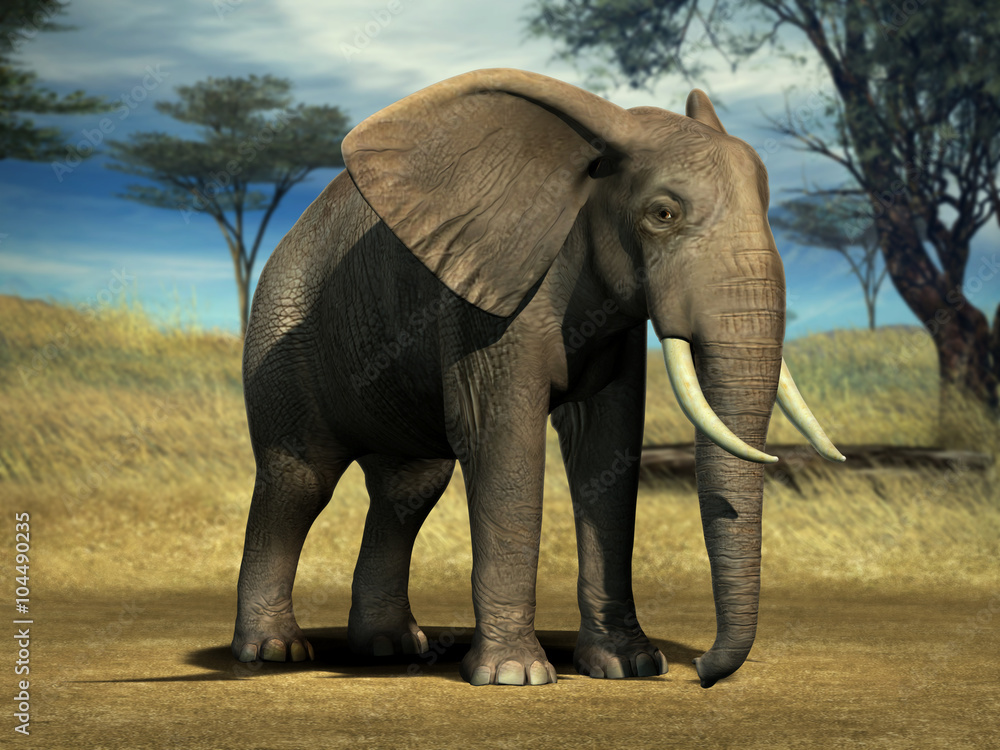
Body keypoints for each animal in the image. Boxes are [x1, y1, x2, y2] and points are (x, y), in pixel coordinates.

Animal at [231, 68, 844, 689]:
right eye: (663, 214)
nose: (700, 671)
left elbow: (607, 450)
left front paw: (629, 667)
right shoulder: (487, 303)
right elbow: (505, 446)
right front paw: (515, 677)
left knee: (409, 488)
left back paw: (388, 647)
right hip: (282, 331)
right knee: (299, 479)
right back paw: (274, 652)